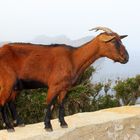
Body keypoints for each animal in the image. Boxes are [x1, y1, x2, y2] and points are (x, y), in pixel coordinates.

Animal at [0, 26, 129, 132]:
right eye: (113, 41)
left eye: (120, 40)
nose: (126, 58)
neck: (73, 58)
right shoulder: (54, 85)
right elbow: (50, 104)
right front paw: (48, 126)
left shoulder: (64, 87)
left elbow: (61, 104)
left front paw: (63, 123)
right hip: (7, 81)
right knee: (2, 101)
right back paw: (9, 127)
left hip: (16, 85)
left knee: (10, 102)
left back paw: (19, 123)